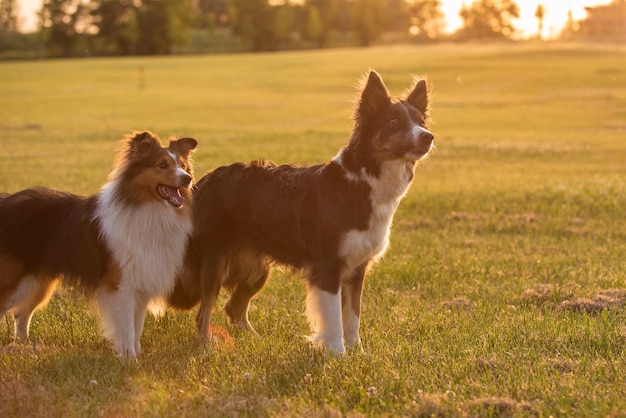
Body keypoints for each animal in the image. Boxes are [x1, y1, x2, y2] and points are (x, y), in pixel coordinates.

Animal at [0, 132, 195, 358]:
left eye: (183, 165)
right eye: (162, 165)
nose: (187, 178)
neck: (146, 208)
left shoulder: (140, 285)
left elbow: (137, 327)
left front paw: (136, 355)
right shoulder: (121, 286)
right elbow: (126, 328)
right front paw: (128, 358)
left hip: (37, 283)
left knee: (21, 315)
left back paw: (25, 347)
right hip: (13, 280)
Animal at [168, 71, 432, 352]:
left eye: (421, 121)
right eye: (394, 121)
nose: (428, 136)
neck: (362, 181)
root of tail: (202, 181)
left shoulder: (356, 269)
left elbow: (353, 318)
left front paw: (358, 353)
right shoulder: (328, 267)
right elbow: (334, 321)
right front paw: (337, 355)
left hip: (257, 271)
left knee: (234, 308)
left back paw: (256, 341)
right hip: (215, 263)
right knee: (203, 313)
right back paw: (207, 347)